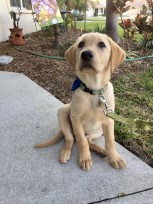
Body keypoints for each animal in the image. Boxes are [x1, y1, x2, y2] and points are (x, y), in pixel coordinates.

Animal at [35, 32, 126, 171]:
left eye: (102, 44)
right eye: (81, 44)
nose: (86, 54)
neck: (94, 90)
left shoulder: (109, 120)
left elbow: (110, 141)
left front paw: (114, 157)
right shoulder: (76, 120)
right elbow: (81, 141)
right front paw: (85, 158)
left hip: (98, 131)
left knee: (88, 139)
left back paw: (100, 150)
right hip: (62, 113)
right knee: (71, 139)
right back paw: (66, 152)